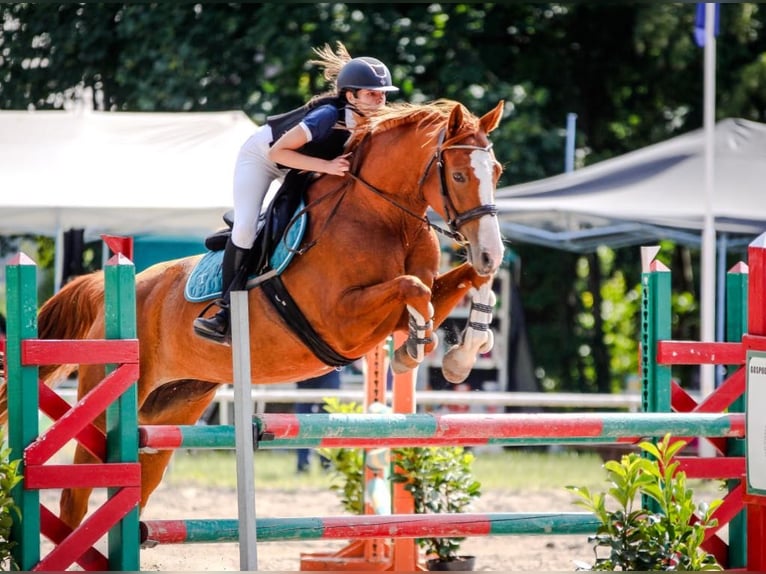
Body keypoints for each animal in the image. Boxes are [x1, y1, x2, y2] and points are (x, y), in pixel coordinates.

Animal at [3, 98, 508, 528]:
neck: (385, 216)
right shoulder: (341, 320)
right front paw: (416, 348)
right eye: (458, 175)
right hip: (108, 401)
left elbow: (457, 285)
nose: (492, 252)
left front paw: (462, 352)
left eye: (497, 171)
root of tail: (112, 288)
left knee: (142, 485)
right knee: (76, 495)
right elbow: (414, 288)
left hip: (173, 407)